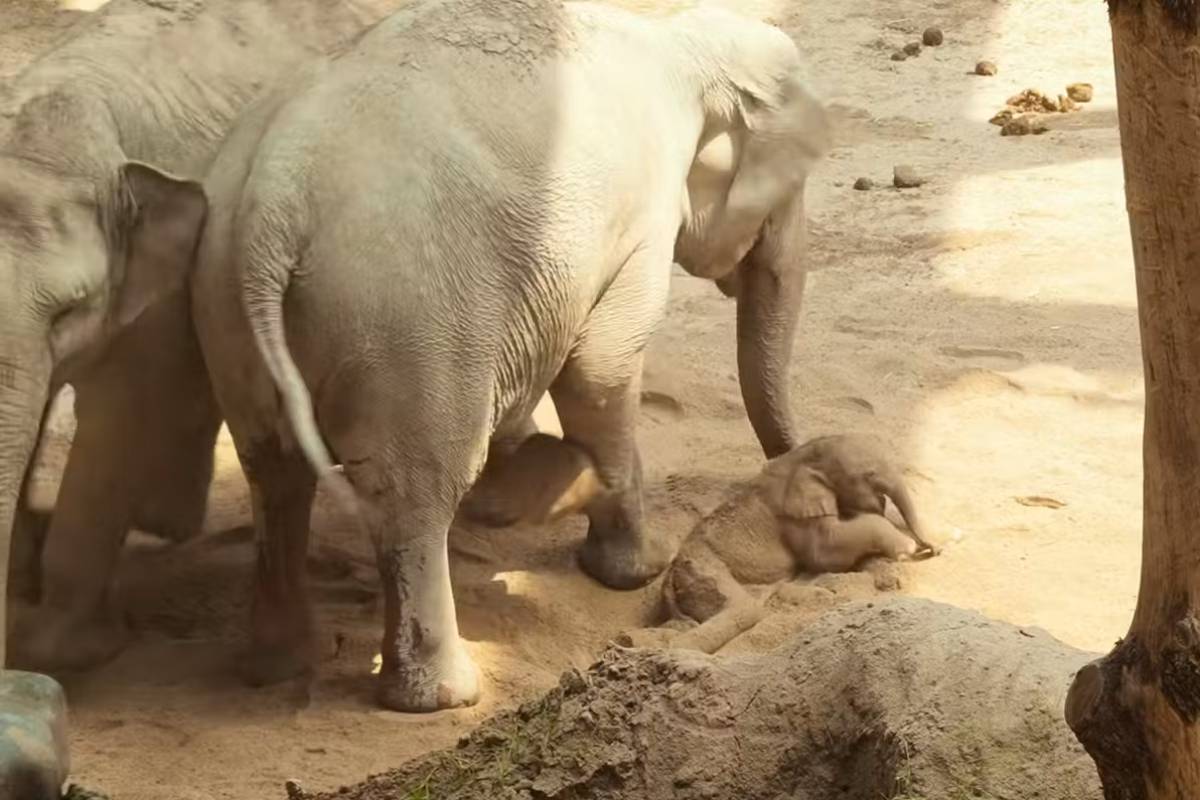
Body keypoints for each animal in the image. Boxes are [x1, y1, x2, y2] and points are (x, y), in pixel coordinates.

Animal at [188, 0, 831, 712]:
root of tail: (270, 210)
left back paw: (278, 664)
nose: (805, 455)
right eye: (791, 188)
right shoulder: (643, 217)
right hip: (403, 326)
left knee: (273, 473)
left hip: (227, 308)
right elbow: (600, 367)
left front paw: (522, 496)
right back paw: (443, 694)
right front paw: (633, 566)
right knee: (413, 490)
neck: (673, 39)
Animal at [661, 435, 931, 654]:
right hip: (703, 568)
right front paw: (908, 548)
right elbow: (826, 551)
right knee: (746, 608)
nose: (932, 548)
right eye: (869, 475)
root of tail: (668, 580)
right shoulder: (793, 517)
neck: (803, 455)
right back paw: (674, 648)